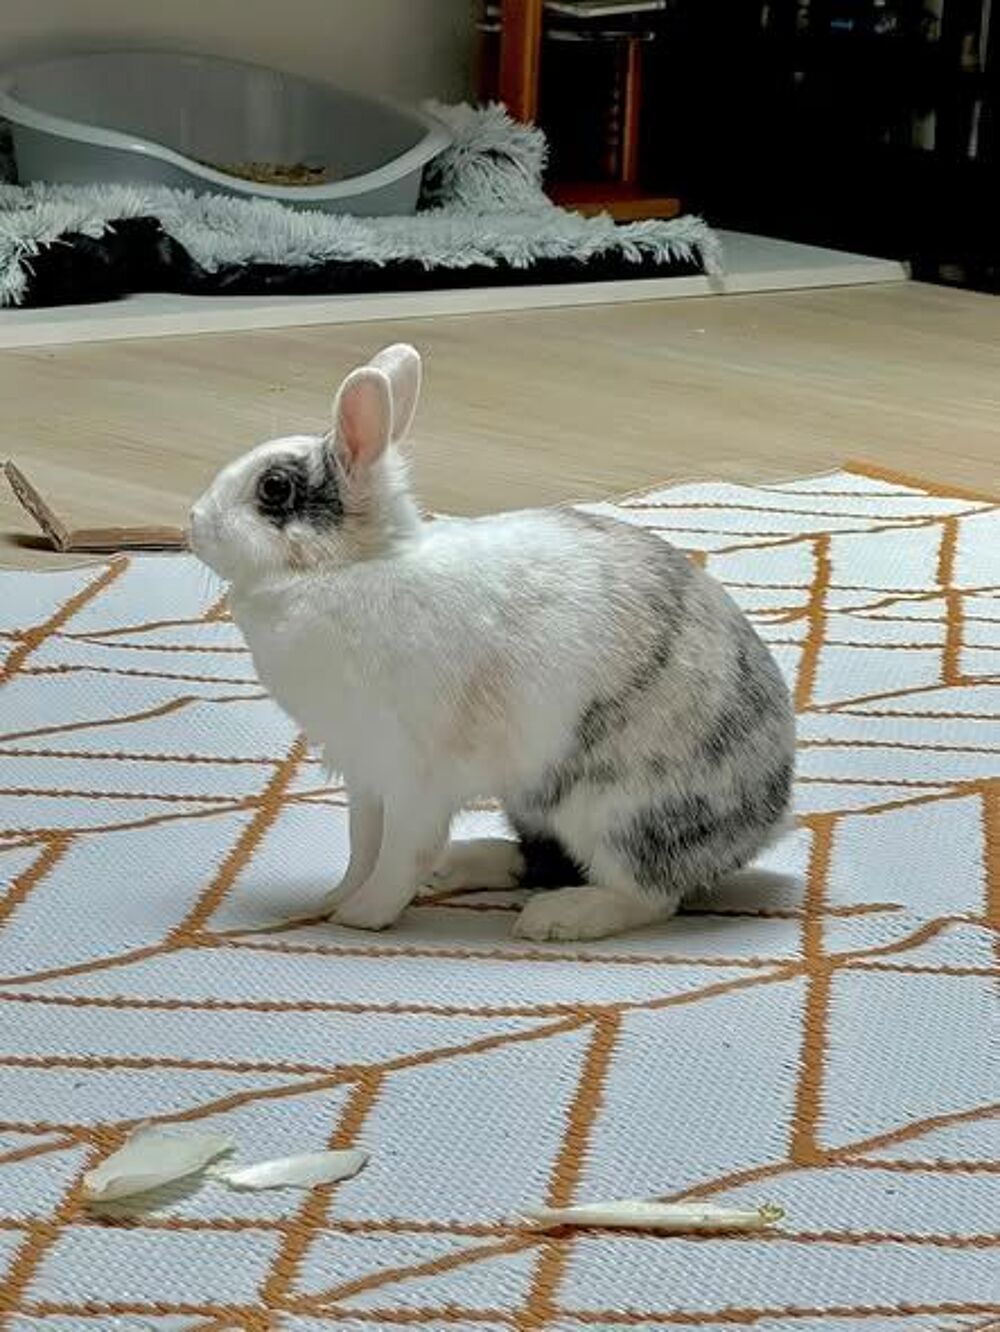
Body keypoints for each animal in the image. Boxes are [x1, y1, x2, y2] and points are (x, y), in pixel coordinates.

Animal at [189, 343, 795, 941]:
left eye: (274, 487)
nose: (193, 521)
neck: (347, 569)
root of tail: (765, 818)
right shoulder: (365, 774)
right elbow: (363, 846)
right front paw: (335, 897)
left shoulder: (412, 777)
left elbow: (400, 853)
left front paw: (362, 916)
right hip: (532, 803)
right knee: (542, 859)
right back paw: (461, 865)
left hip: (615, 813)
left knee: (645, 895)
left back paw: (556, 918)